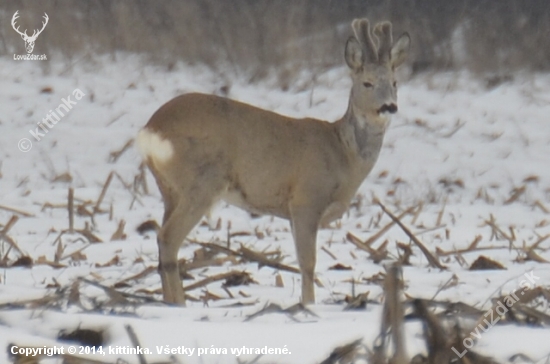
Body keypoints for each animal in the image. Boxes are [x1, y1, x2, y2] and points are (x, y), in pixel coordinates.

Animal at [137, 17, 410, 304]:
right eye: (367, 83)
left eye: (395, 83)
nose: (389, 106)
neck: (343, 155)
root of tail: (151, 129)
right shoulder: (306, 199)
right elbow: (308, 264)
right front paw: (308, 305)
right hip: (202, 181)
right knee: (168, 239)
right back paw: (179, 304)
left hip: (170, 188)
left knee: (161, 243)